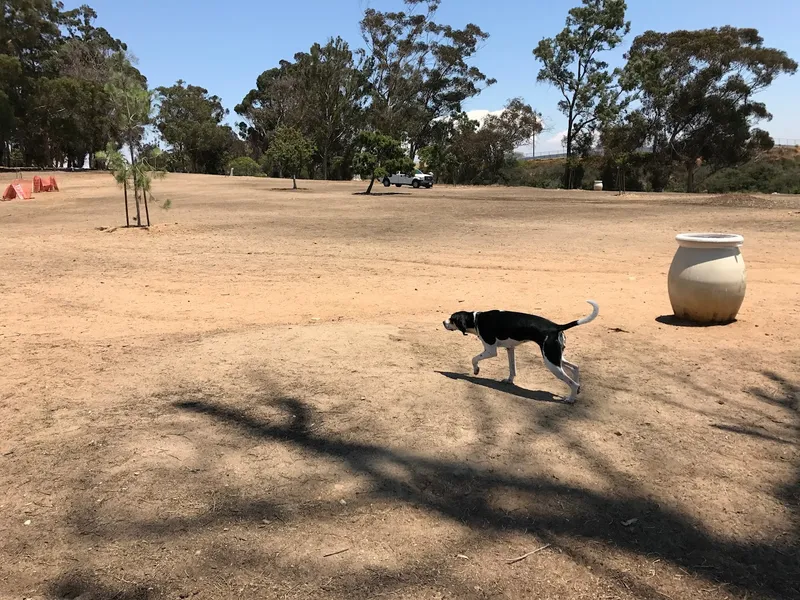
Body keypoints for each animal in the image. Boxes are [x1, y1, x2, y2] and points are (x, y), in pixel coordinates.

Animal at [444, 300, 600, 404]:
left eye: (452, 319)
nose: (443, 322)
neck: (477, 319)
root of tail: (556, 326)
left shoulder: (490, 350)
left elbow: (474, 358)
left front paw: (476, 370)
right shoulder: (510, 348)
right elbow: (512, 368)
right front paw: (509, 380)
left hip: (551, 363)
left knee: (573, 382)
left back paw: (571, 398)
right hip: (556, 358)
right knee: (575, 367)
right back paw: (576, 391)